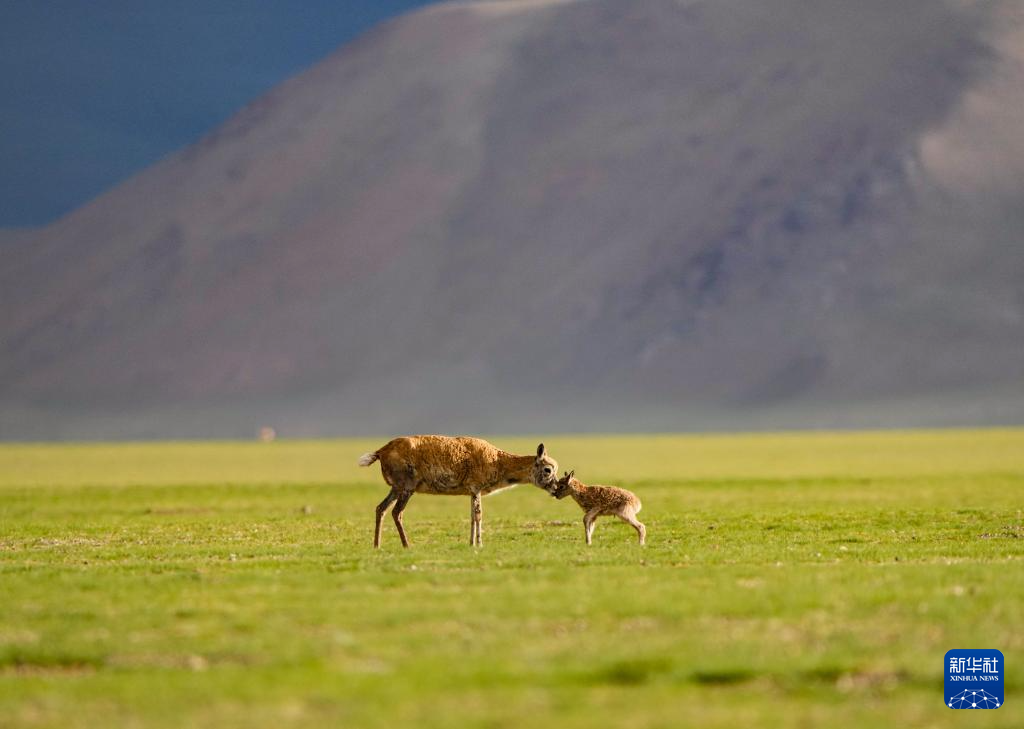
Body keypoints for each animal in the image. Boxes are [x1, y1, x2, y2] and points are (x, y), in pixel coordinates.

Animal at [356, 432, 557, 548]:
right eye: (548, 469)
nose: (557, 488)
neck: (498, 460)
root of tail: (381, 451)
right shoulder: (476, 489)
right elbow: (479, 516)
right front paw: (479, 544)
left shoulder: (472, 493)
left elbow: (471, 517)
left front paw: (471, 543)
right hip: (406, 489)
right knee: (396, 512)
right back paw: (407, 545)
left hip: (396, 489)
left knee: (381, 508)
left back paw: (377, 545)